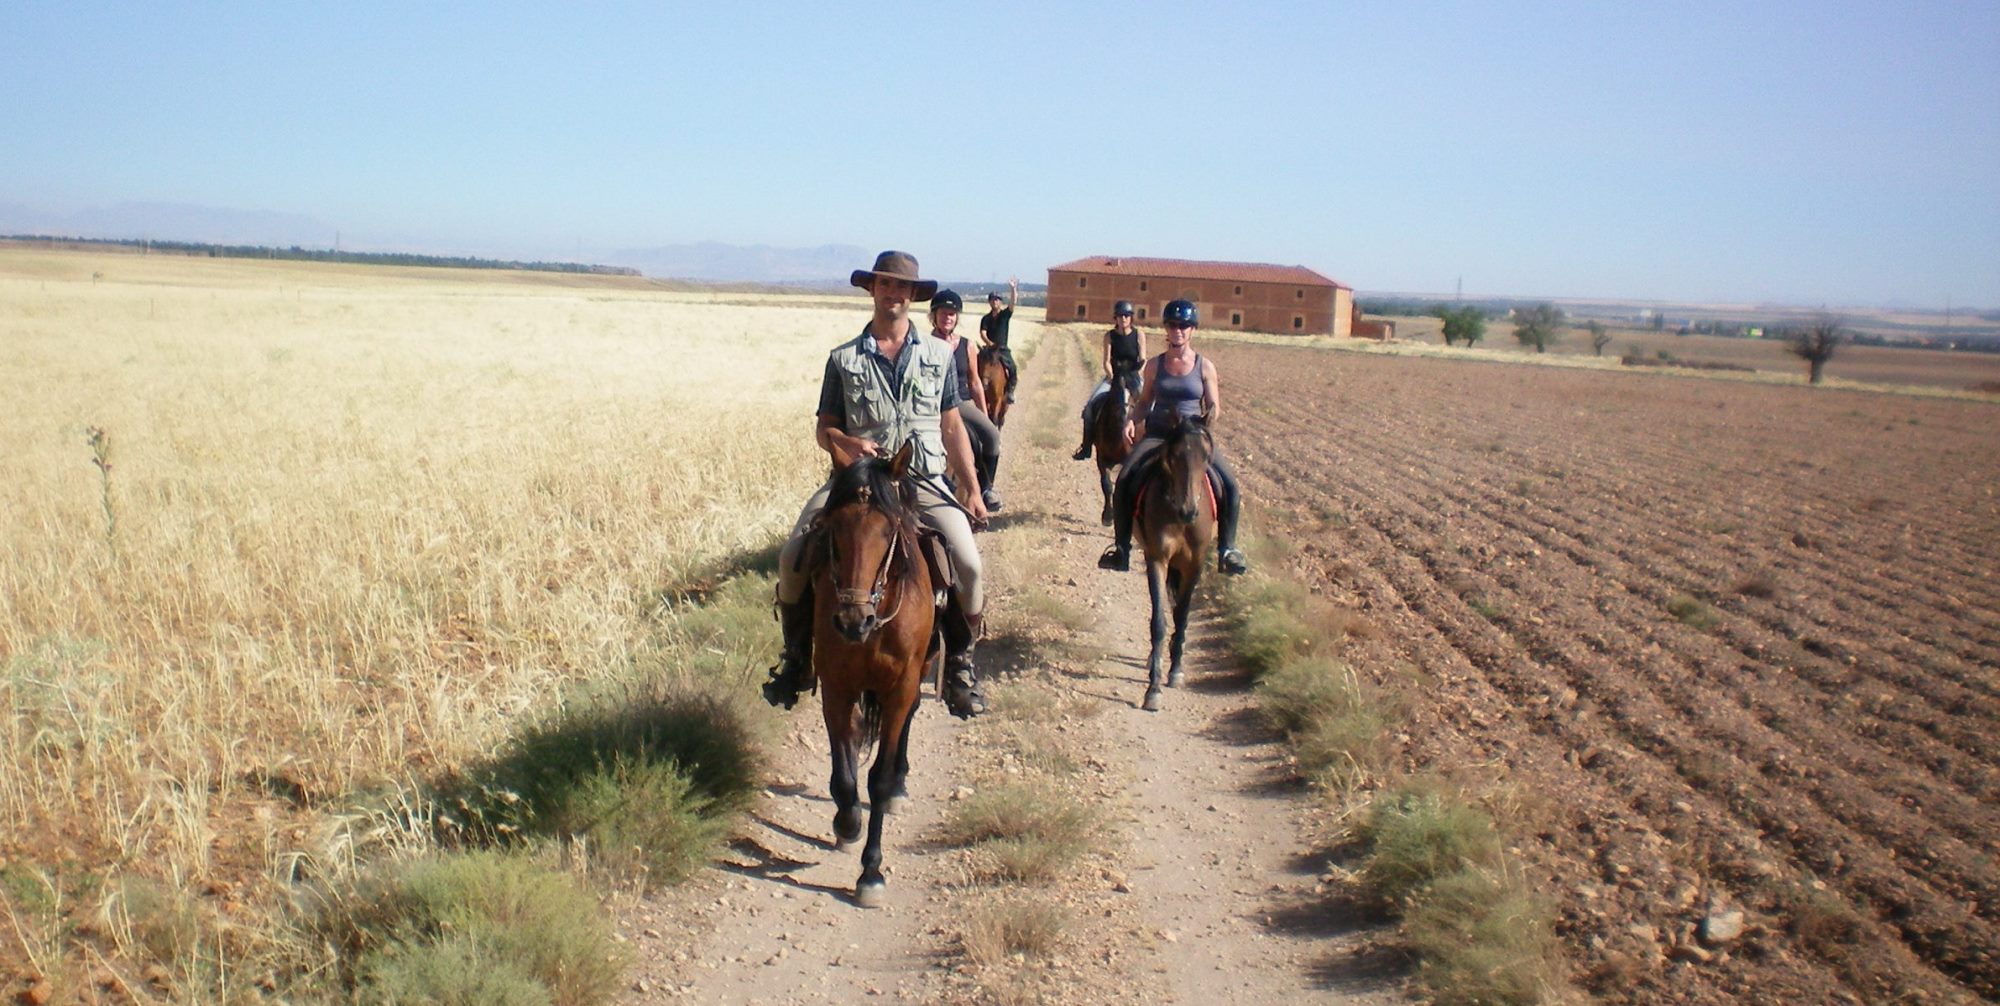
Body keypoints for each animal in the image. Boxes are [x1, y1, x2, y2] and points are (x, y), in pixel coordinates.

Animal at [804, 444, 936, 908]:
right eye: (834, 528)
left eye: (887, 531)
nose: (851, 620)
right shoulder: (836, 686)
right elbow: (846, 770)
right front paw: (847, 822)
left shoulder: (900, 688)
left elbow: (877, 778)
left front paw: (871, 872)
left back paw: (899, 785)